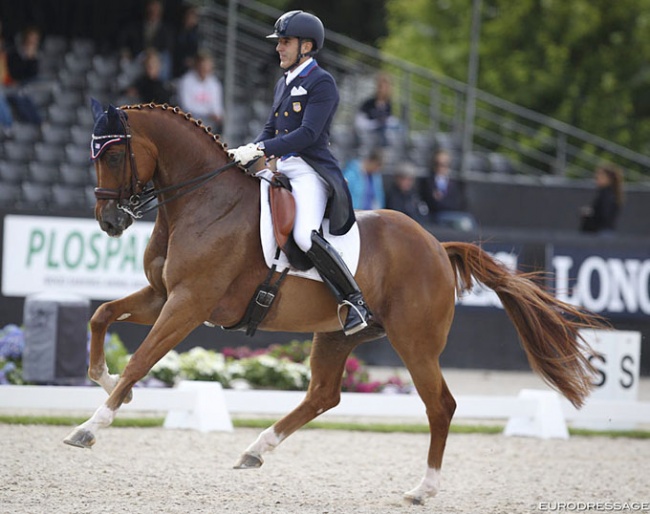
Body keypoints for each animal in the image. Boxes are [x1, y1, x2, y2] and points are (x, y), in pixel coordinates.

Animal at [63, 102, 600, 502]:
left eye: (114, 156)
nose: (109, 221)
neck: (202, 201)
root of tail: (435, 245)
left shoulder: (189, 303)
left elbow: (141, 359)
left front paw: (90, 427)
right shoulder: (163, 296)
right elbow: (102, 316)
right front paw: (106, 382)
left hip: (415, 342)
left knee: (440, 405)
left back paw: (422, 489)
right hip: (338, 334)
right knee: (324, 394)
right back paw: (256, 449)